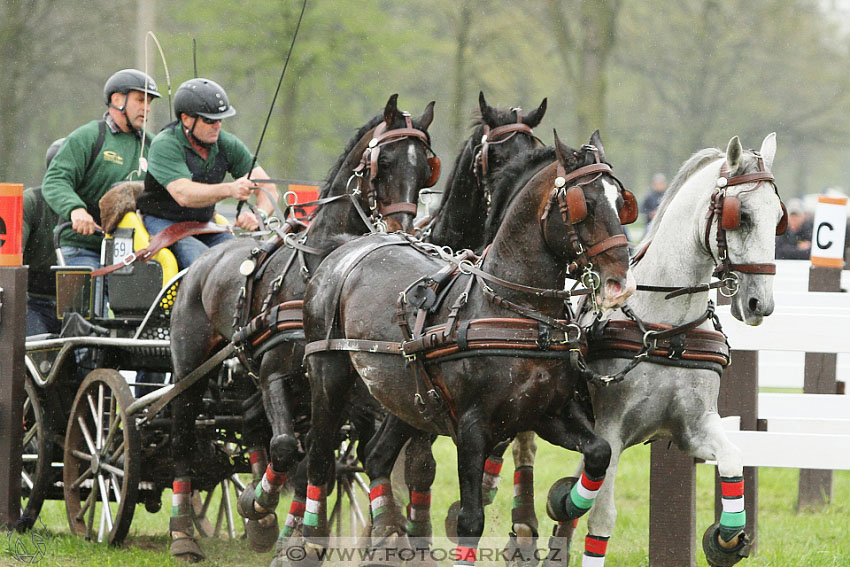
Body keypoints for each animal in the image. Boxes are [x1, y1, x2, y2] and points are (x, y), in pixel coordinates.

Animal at [164, 95, 438, 560]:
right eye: (383, 163)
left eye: (425, 171)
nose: (401, 233)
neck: (321, 264)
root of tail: (204, 260)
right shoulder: (276, 372)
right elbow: (287, 447)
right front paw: (258, 503)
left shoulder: (345, 391)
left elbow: (314, 458)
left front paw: (281, 523)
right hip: (190, 369)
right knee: (183, 433)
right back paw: (184, 533)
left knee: (250, 422)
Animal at [298, 134, 636, 567]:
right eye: (585, 204)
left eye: (620, 202)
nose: (621, 283)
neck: (514, 310)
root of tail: (346, 249)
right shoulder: (472, 426)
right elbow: (471, 519)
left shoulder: (548, 413)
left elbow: (599, 452)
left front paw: (567, 502)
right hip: (329, 374)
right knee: (320, 460)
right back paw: (309, 542)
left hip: (409, 397)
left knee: (375, 456)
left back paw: (389, 534)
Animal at [506, 134, 784, 567]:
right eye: (742, 217)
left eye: (778, 218)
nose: (760, 304)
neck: (667, 329)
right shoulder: (611, 429)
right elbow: (601, 515)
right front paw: (568, 503)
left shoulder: (693, 426)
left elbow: (733, 458)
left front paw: (726, 538)